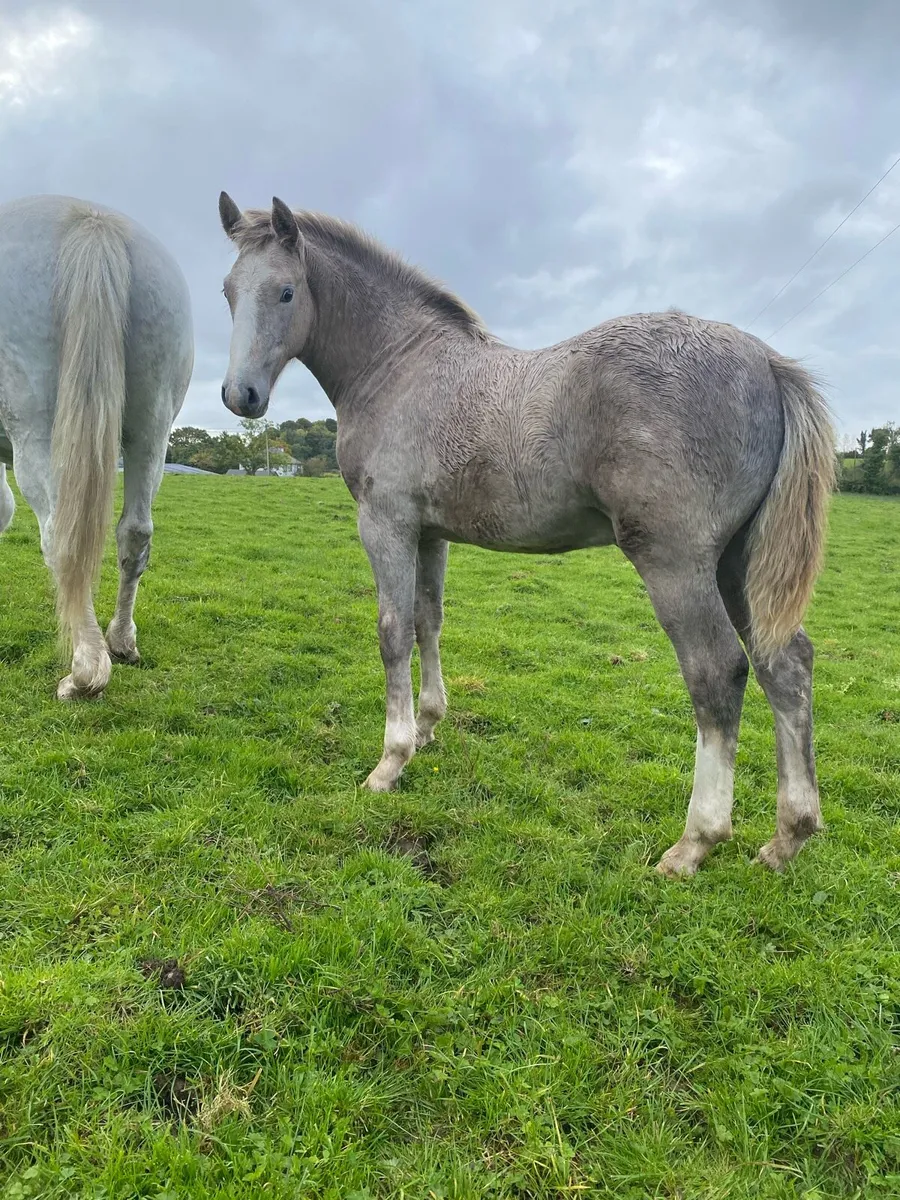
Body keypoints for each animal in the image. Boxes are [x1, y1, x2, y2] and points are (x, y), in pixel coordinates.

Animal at [0, 195, 194, 699]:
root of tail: (90, 221)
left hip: (37, 430)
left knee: (61, 537)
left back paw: (86, 670)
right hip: (152, 429)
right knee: (136, 533)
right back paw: (121, 641)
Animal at [217, 192, 836, 877]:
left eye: (285, 292)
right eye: (228, 291)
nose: (240, 396)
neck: (400, 366)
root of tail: (766, 361)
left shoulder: (386, 523)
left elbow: (392, 632)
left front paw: (389, 763)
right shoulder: (431, 533)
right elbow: (427, 620)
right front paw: (428, 728)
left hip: (676, 562)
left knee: (718, 673)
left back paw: (694, 843)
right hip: (738, 563)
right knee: (786, 666)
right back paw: (788, 837)